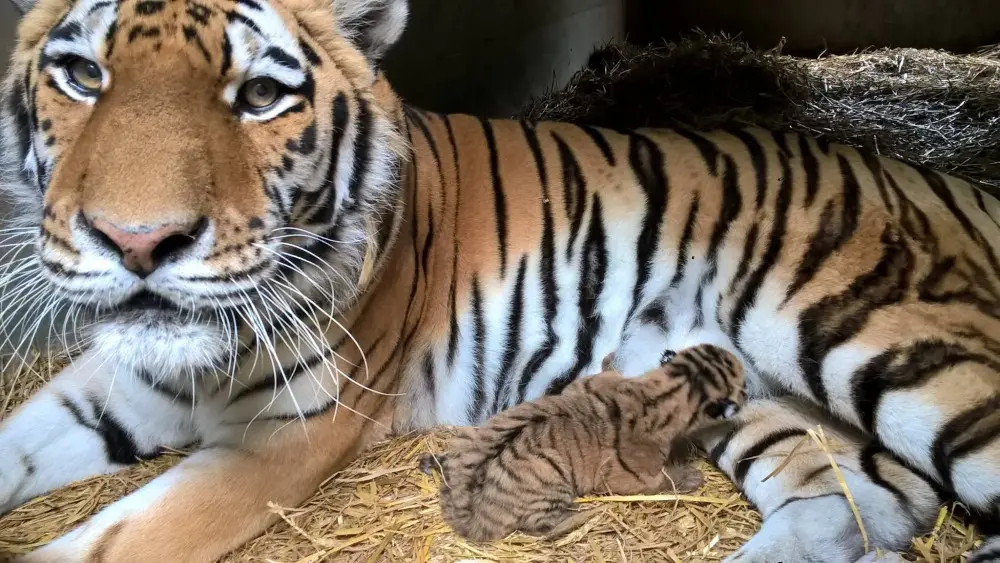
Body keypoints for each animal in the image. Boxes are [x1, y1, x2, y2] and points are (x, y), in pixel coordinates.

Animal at [0, 1, 996, 563]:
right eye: (83, 79)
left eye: (258, 99)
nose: (137, 238)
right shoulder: (114, 384)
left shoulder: (283, 439)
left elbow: (112, 540)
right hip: (742, 385)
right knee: (856, 503)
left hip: (883, 339)